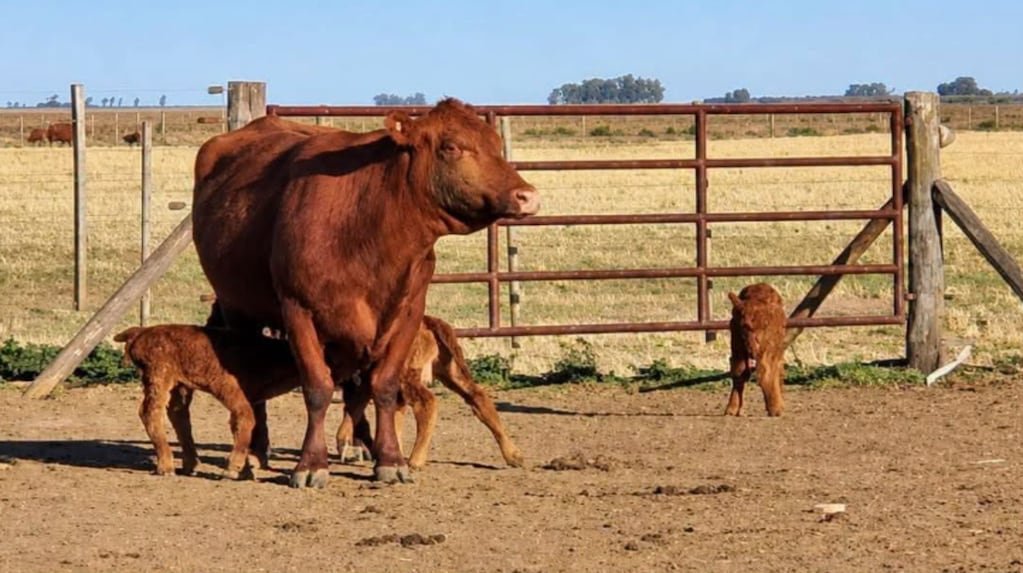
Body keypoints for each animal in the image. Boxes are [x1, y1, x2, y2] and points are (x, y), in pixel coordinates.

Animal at [192, 98, 539, 487]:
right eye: (451, 147)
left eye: (497, 145)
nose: (527, 196)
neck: (368, 227)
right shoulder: (298, 312)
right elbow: (317, 388)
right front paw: (311, 464)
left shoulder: (407, 315)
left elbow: (382, 386)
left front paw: (390, 459)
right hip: (239, 310)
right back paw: (255, 450)